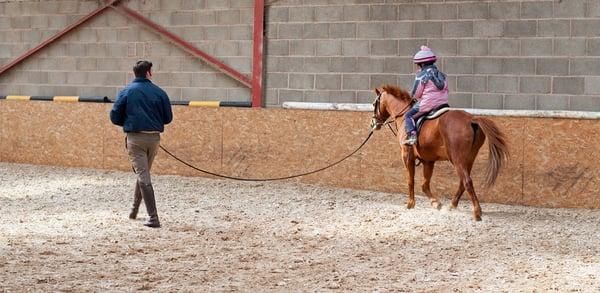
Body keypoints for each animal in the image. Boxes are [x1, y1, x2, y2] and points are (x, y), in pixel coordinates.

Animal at [372, 84, 508, 219]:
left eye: (374, 104)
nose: (373, 123)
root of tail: (471, 119)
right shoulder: (428, 161)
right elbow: (425, 184)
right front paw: (435, 203)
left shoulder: (406, 156)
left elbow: (410, 180)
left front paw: (410, 203)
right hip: (469, 158)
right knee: (462, 182)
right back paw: (452, 205)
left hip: (457, 160)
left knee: (467, 181)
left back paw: (477, 211)